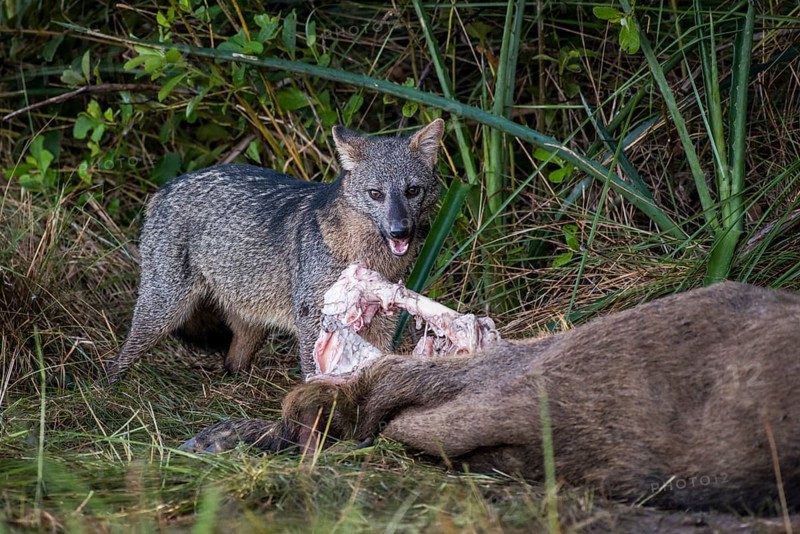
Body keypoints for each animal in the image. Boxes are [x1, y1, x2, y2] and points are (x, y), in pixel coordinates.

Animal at [104, 119, 445, 382]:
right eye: (376, 194)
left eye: (412, 191)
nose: (399, 231)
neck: (365, 257)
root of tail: (164, 188)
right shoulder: (311, 319)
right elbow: (314, 374)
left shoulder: (383, 325)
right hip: (163, 312)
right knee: (121, 358)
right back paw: (107, 389)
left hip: (248, 323)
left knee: (233, 363)